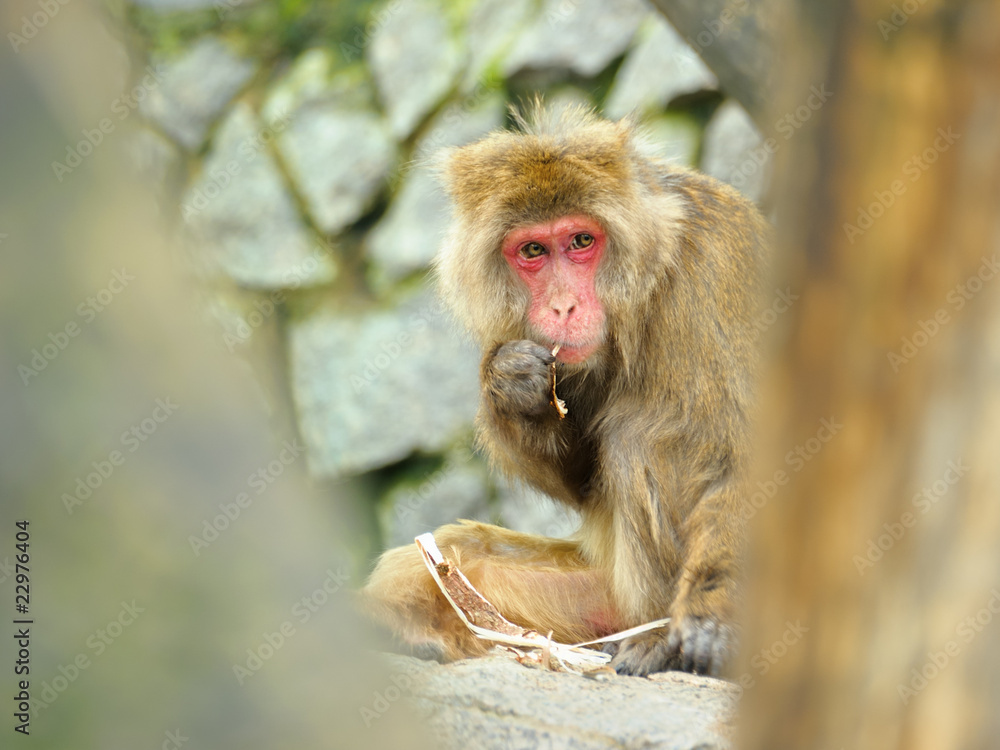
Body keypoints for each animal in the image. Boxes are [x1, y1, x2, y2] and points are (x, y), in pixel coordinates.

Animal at [362, 102, 767, 677]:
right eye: (533, 249)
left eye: (580, 241)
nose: (562, 307)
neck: (645, 289)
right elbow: (581, 481)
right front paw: (512, 386)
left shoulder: (719, 268)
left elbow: (750, 450)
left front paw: (714, 617)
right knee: (451, 555)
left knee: (644, 435)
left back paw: (662, 640)